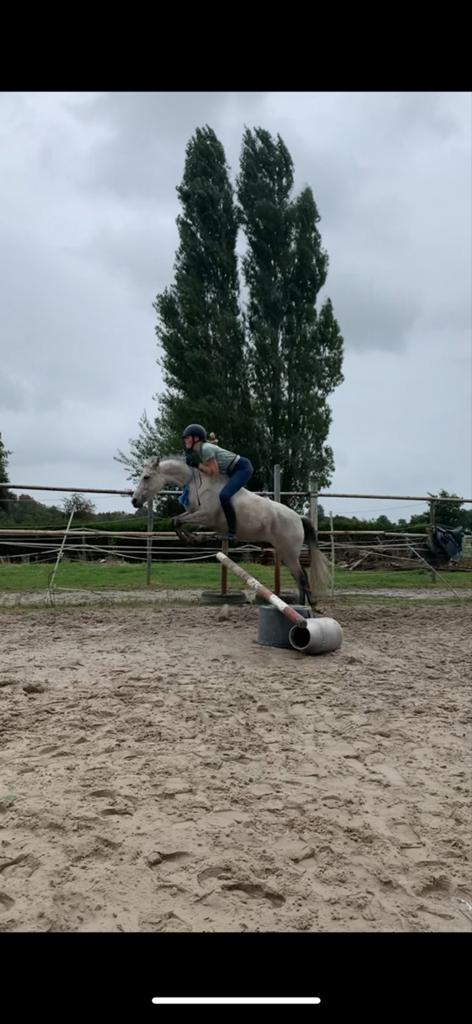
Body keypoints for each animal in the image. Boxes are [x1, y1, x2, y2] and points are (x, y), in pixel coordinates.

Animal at [131, 456, 330, 607]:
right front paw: (192, 538)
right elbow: (176, 521)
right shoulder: (193, 513)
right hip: (284, 553)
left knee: (301, 577)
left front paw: (194, 539)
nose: (134, 501)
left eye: (146, 477)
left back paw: (304, 607)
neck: (198, 483)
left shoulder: (205, 516)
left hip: (289, 553)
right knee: (299, 578)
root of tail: (298, 518)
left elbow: (178, 521)